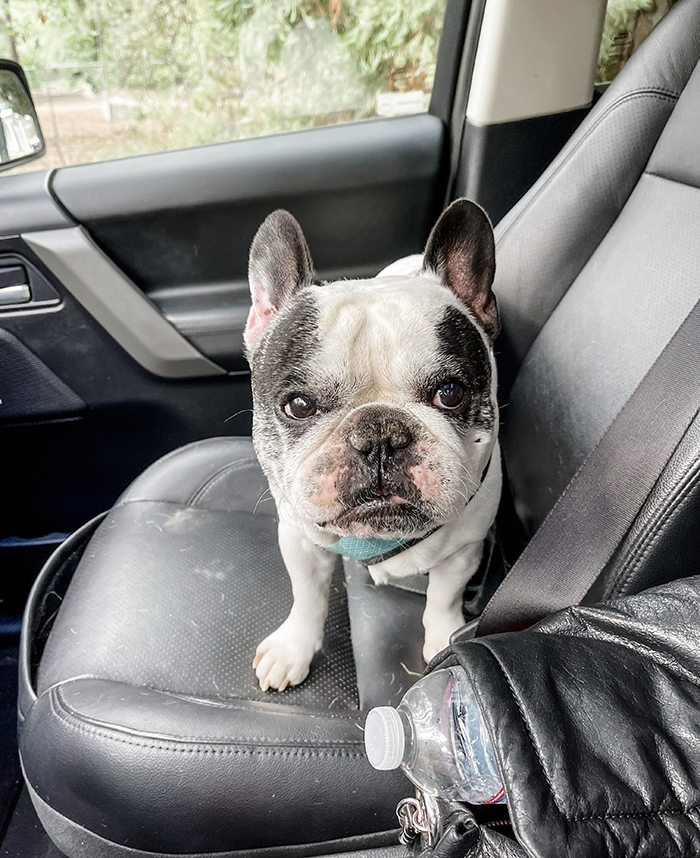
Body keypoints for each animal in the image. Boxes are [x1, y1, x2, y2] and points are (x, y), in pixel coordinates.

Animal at [243, 201, 500, 688]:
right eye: (298, 405)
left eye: (450, 393)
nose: (380, 435)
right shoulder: (299, 538)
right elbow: (307, 596)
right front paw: (294, 647)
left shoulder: (466, 550)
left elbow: (443, 596)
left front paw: (444, 637)